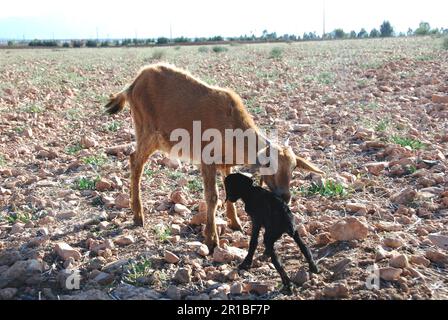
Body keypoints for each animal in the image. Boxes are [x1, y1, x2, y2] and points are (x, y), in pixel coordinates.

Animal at [103, 63, 324, 250]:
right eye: (269, 163)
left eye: (294, 167)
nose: (285, 196)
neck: (231, 126)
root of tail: (133, 84)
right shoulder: (206, 159)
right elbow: (212, 197)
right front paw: (211, 239)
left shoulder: (226, 163)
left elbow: (231, 191)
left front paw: (235, 223)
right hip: (148, 132)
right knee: (135, 161)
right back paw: (138, 215)